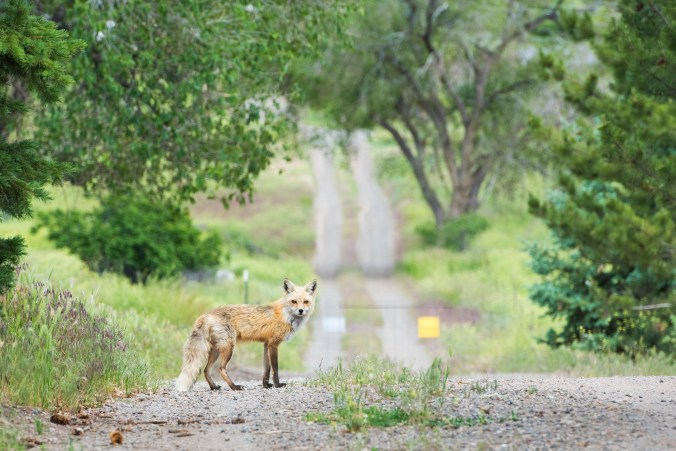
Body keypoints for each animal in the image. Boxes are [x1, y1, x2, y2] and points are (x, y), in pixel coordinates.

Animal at [175, 278, 317, 392]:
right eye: (294, 301)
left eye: (306, 301)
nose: (301, 310)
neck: (286, 315)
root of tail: (206, 314)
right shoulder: (273, 344)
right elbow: (275, 368)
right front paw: (277, 385)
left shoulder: (266, 344)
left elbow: (266, 369)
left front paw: (266, 385)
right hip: (228, 347)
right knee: (221, 369)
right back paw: (234, 387)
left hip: (216, 350)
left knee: (205, 370)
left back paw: (214, 387)